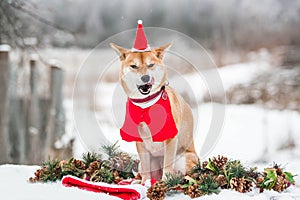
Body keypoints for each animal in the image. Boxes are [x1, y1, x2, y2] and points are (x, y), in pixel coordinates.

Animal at [109, 19, 197, 183]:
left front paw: (166, 181)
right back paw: (140, 181)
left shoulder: (170, 138)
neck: (146, 105)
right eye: (134, 66)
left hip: (183, 158)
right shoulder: (140, 142)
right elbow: (146, 168)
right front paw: (144, 184)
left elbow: (168, 165)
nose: (145, 78)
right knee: (145, 171)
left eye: (151, 64)